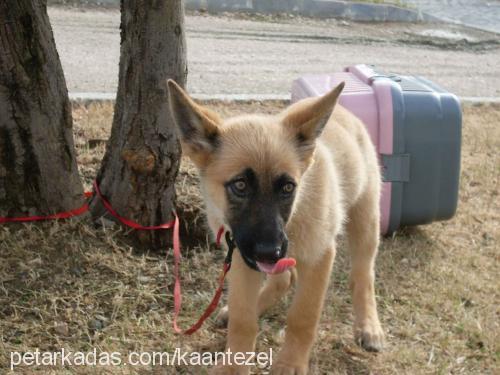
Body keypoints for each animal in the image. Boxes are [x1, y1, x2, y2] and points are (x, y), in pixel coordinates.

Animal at [170, 79, 384, 374]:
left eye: (287, 187)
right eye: (240, 185)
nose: (270, 251)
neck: (294, 214)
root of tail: (345, 112)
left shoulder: (319, 258)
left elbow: (302, 318)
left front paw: (290, 363)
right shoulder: (241, 255)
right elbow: (243, 319)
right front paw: (234, 365)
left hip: (366, 220)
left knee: (363, 275)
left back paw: (368, 326)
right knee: (283, 279)